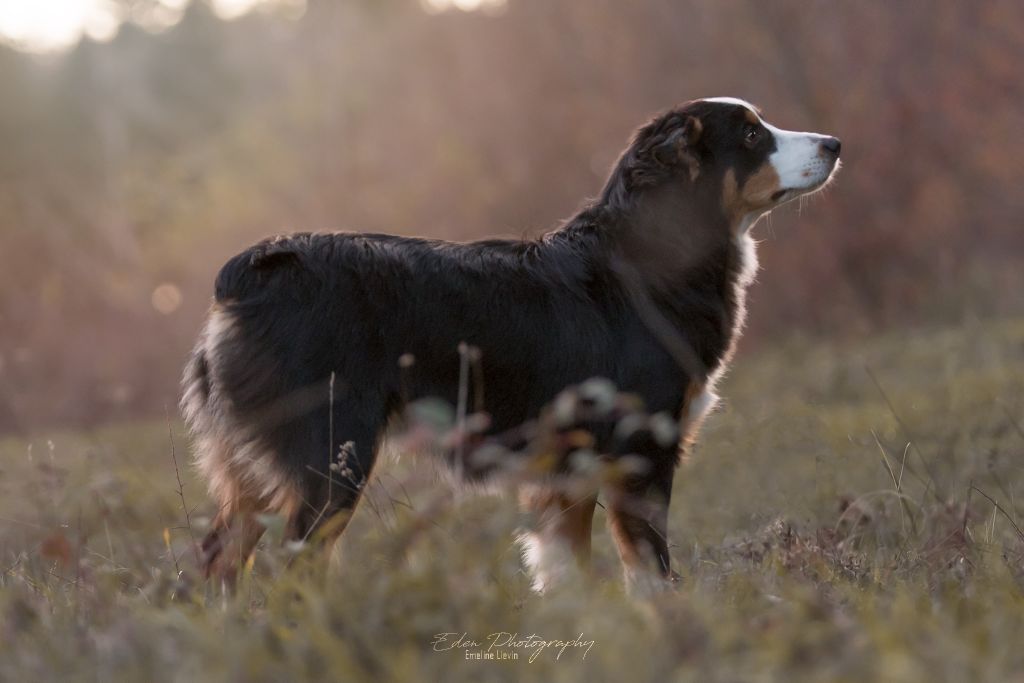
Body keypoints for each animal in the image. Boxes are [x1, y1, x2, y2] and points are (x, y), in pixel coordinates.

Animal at [184, 96, 839, 593]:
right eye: (752, 134)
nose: (834, 143)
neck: (650, 259)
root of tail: (255, 268)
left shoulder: (566, 473)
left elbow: (567, 573)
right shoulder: (639, 453)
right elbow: (650, 570)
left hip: (260, 476)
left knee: (219, 559)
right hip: (329, 462)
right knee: (290, 571)